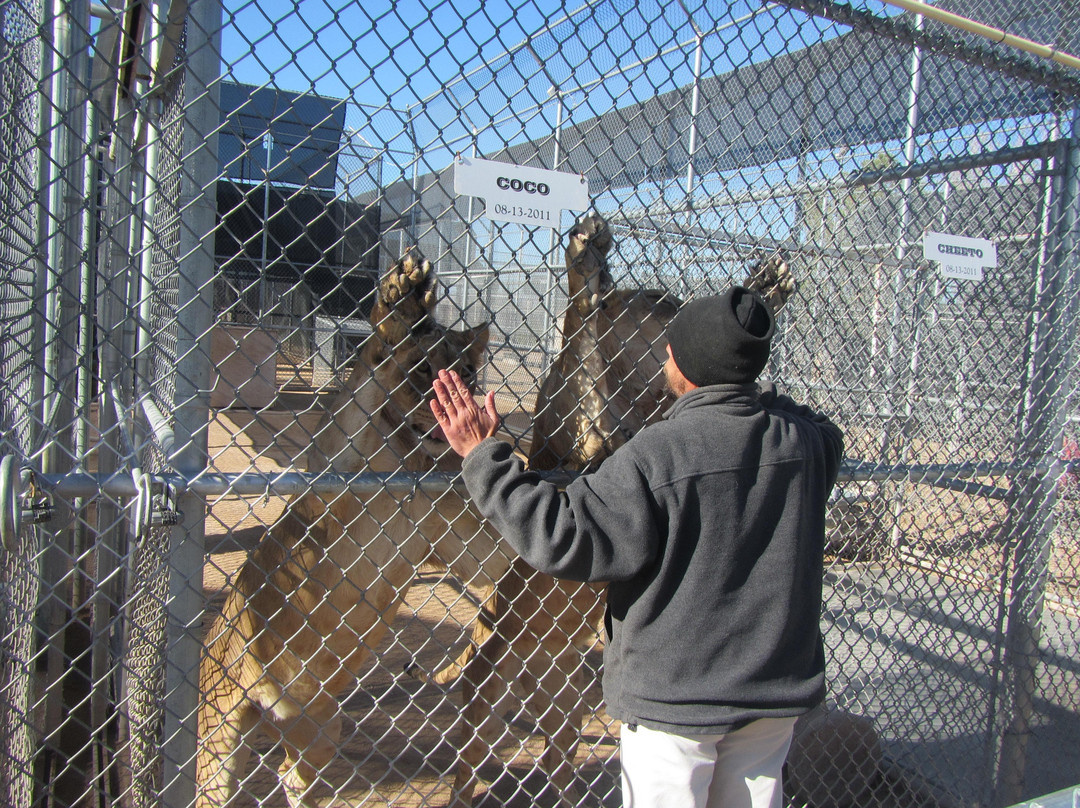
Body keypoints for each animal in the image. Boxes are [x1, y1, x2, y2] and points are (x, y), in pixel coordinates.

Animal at [196, 249, 511, 808]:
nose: (447, 415)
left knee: (290, 774)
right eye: (423, 370)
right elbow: (372, 368)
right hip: (218, 738)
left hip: (319, 730)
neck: (412, 461)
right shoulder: (340, 459)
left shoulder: (461, 543)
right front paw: (402, 295)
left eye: (469, 372)